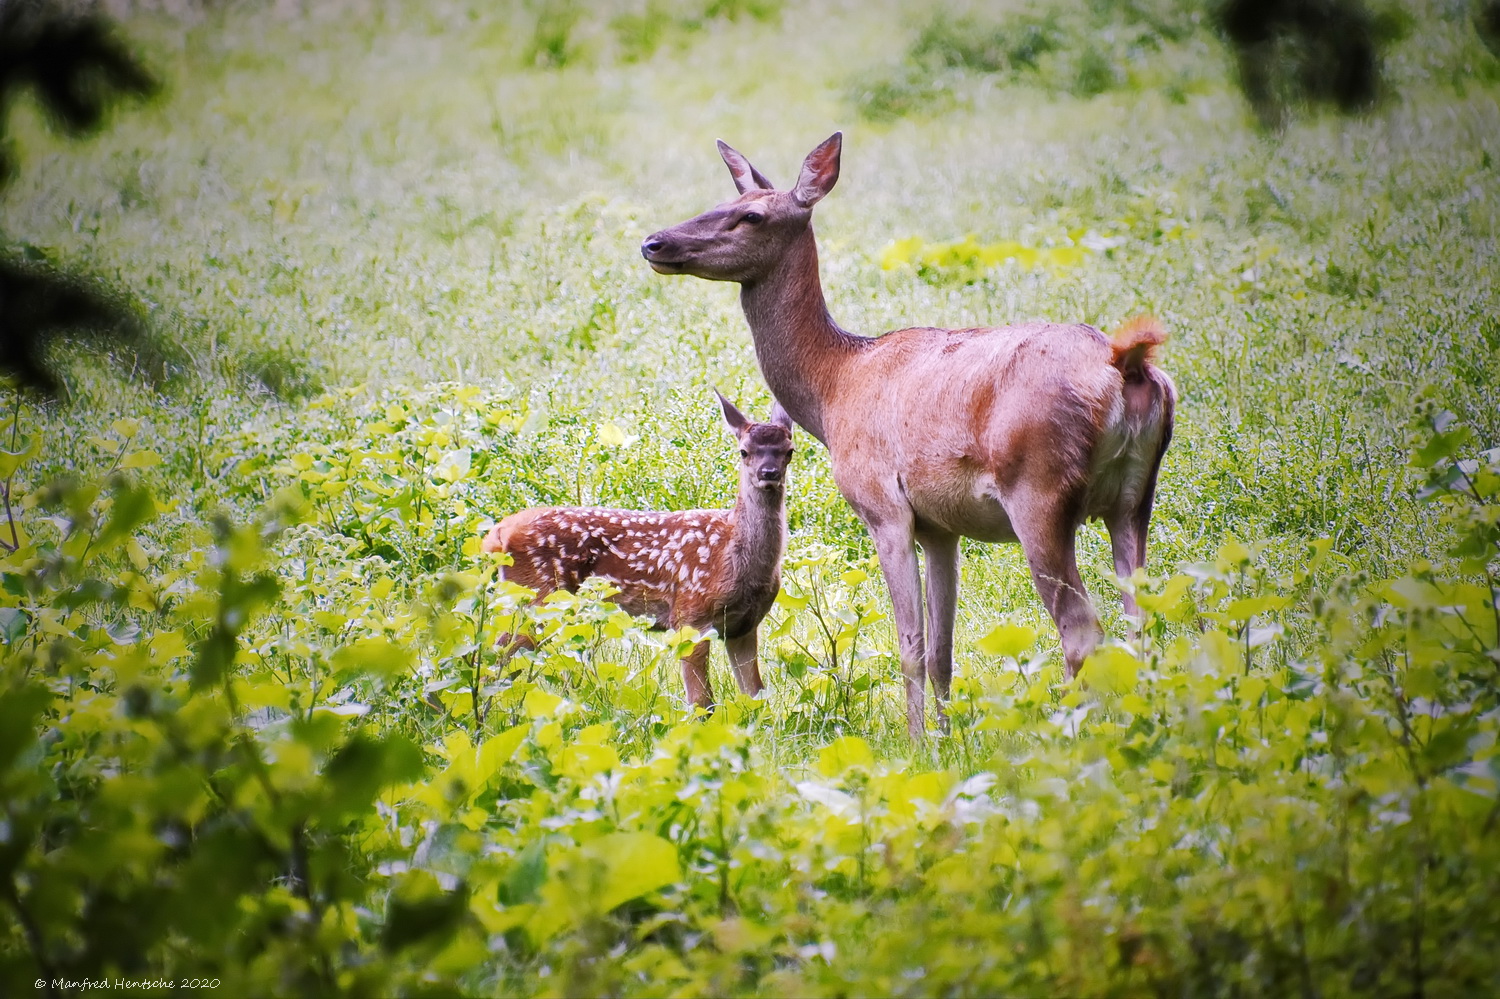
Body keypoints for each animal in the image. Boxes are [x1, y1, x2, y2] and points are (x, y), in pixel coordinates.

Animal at [483, 390, 798, 708]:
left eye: (789, 451)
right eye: (744, 451)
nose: (769, 473)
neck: (731, 551)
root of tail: (499, 533)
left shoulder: (744, 626)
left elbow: (756, 694)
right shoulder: (690, 615)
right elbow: (701, 701)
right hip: (538, 599)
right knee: (491, 661)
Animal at [639, 132, 1176, 735]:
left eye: (751, 215)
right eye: (722, 200)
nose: (654, 243)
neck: (835, 386)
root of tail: (1128, 364)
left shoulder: (882, 504)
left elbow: (911, 643)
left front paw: (917, 740)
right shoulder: (942, 526)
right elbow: (943, 648)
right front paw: (947, 735)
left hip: (1039, 491)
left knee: (1083, 632)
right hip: (1135, 497)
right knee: (1142, 623)